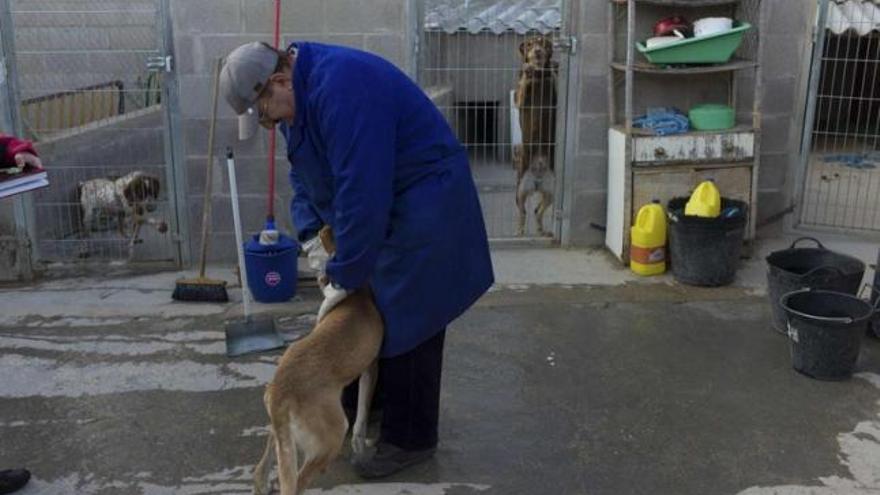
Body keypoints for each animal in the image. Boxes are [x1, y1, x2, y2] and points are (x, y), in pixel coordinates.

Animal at [251, 228, 382, 495]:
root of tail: (281, 391)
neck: (358, 296)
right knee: (297, 484)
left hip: (279, 431)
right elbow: (362, 415)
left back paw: (262, 481)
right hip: (331, 436)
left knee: (264, 463)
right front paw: (361, 447)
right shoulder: (371, 368)